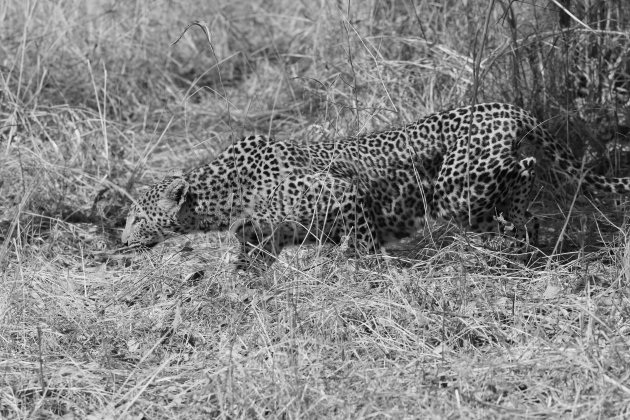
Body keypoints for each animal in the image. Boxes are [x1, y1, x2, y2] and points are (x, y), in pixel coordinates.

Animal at [121, 101, 630, 270]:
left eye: (137, 217)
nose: (122, 240)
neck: (221, 194)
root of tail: (505, 106)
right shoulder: (272, 231)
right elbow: (250, 250)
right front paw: (238, 280)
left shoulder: (341, 192)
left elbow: (362, 238)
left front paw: (361, 267)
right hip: (474, 201)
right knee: (522, 203)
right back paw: (527, 241)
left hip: (458, 191)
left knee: (526, 166)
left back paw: (523, 235)